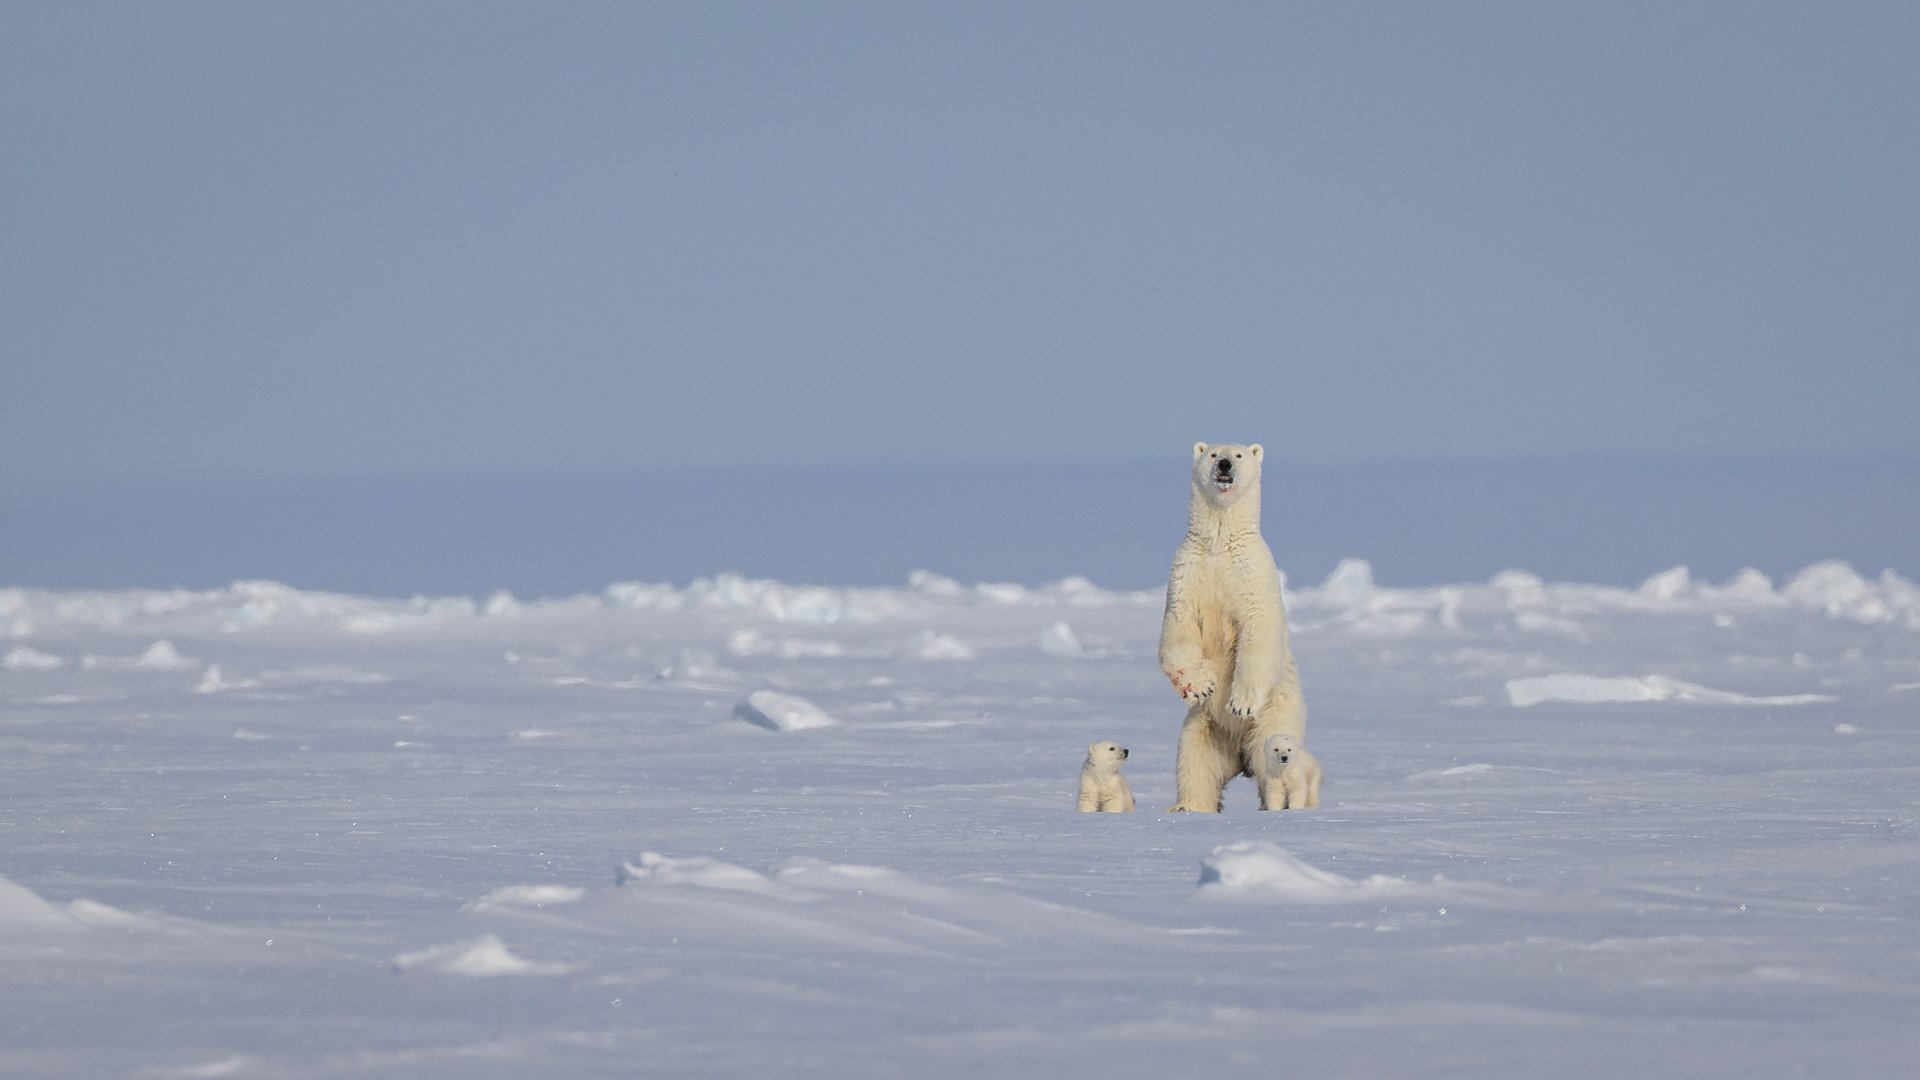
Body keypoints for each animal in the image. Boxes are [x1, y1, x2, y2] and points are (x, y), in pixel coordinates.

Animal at [1158, 441, 1308, 812]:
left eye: (1239, 455)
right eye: (1212, 455)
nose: (1225, 464)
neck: (1219, 544)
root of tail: (1239, 757)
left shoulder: (1252, 573)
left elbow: (1259, 631)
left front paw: (1240, 703)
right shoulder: (1186, 573)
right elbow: (1178, 629)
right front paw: (1200, 685)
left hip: (1276, 720)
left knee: (1271, 760)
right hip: (1204, 727)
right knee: (1195, 763)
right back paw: (1188, 806)